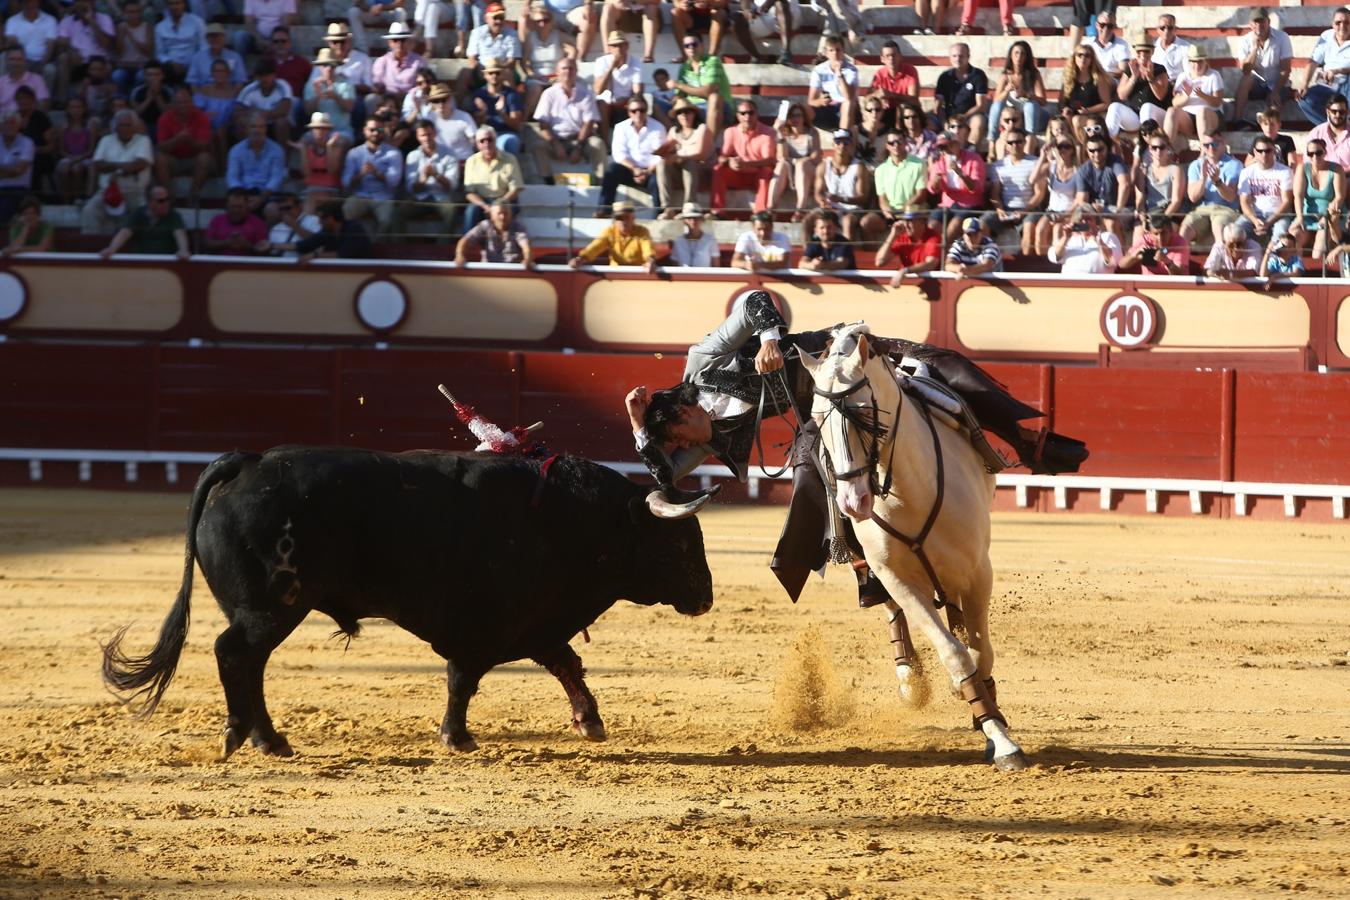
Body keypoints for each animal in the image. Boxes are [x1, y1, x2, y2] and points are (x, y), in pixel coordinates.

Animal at [102, 447, 718, 755]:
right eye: (680, 539)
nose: (706, 596)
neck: (579, 519)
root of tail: (246, 462)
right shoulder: (485, 626)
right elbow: (463, 680)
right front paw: (457, 738)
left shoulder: (535, 623)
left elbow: (567, 663)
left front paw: (590, 722)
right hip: (271, 607)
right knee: (236, 655)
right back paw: (253, 738)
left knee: (247, 663)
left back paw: (265, 738)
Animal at [804, 323, 1026, 777]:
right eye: (817, 419)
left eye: (864, 413)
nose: (852, 501)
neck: (910, 489)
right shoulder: (897, 577)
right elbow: (954, 653)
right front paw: (997, 736)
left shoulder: (979, 571)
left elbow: (980, 652)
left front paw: (988, 719)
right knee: (892, 608)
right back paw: (910, 677)